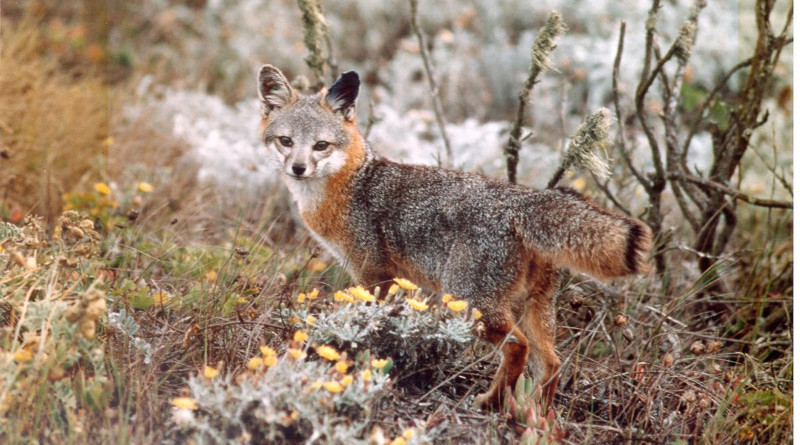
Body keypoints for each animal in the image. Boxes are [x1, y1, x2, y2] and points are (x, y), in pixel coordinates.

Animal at [257, 65, 652, 408]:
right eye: (286, 141)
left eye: (321, 145)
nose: (298, 168)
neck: (352, 184)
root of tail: (523, 199)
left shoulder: (373, 275)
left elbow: (370, 322)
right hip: (532, 309)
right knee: (552, 362)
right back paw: (536, 414)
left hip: (471, 302)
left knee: (517, 347)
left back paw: (491, 402)